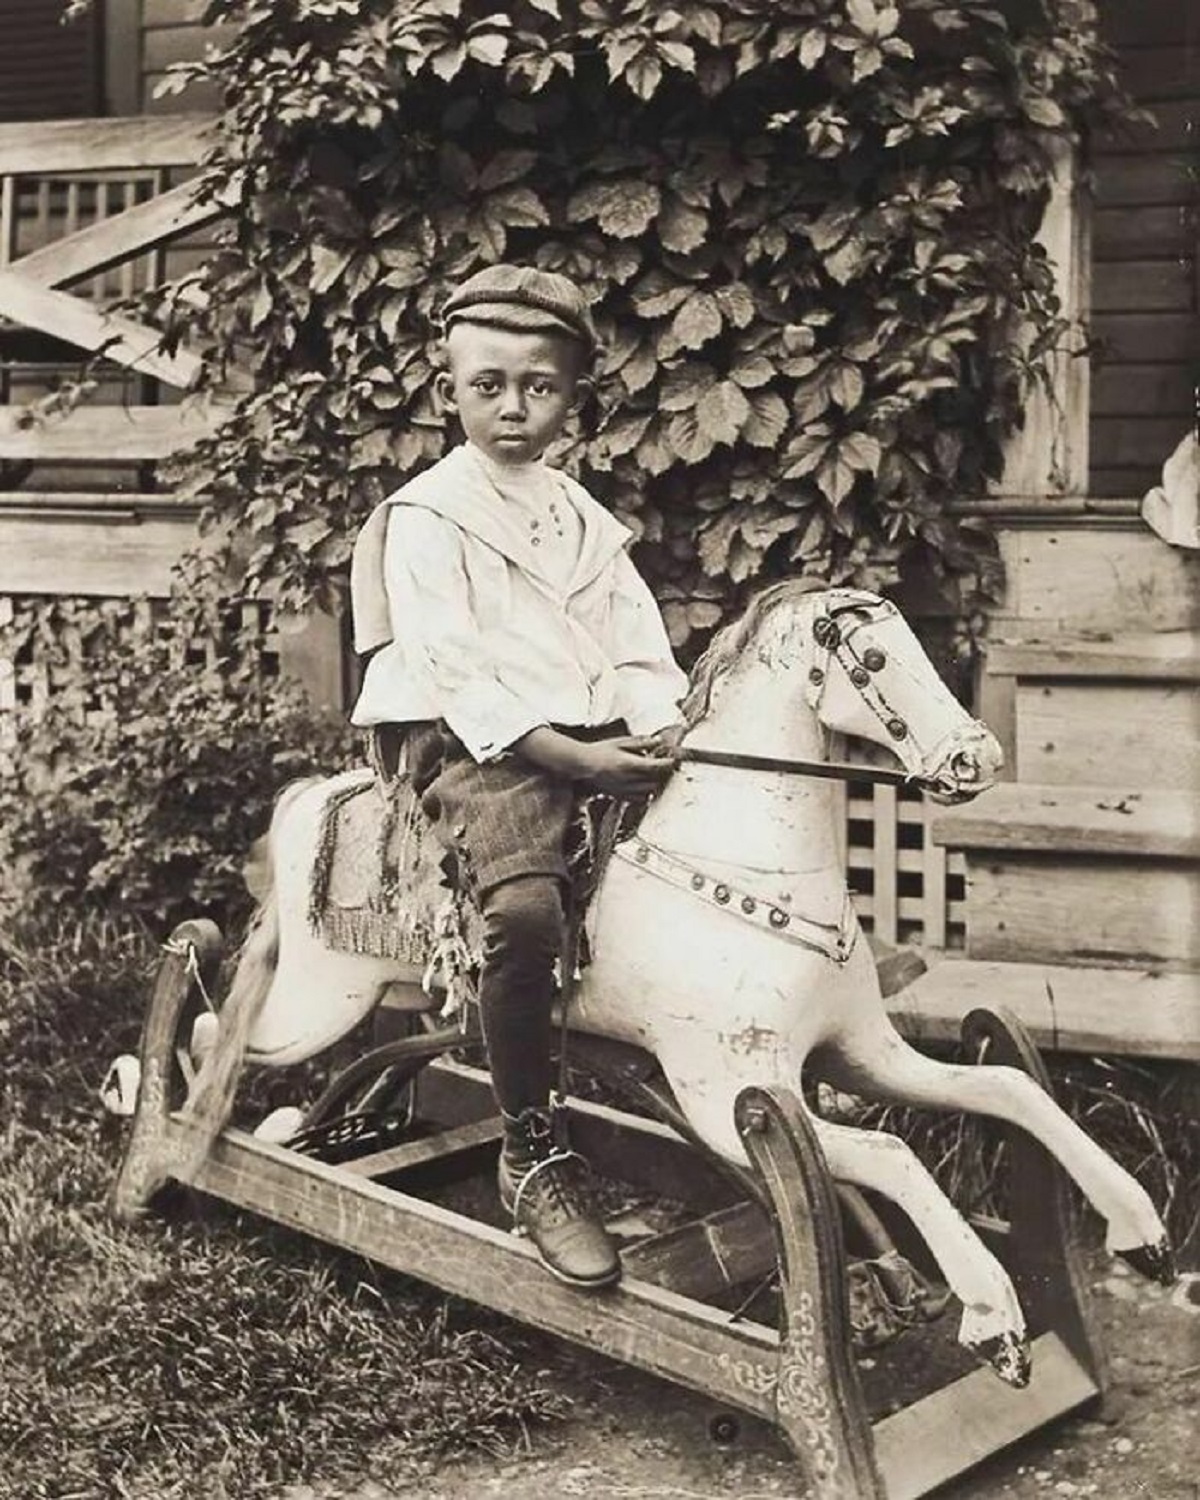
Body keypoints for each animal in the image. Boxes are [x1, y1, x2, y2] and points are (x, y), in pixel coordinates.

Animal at [201, 582, 1170, 1380]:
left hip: (389, 1001)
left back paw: (328, 1126)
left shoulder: (860, 1054)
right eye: (877, 659)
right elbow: (893, 1153)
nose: (977, 760)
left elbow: (1007, 1086)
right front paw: (991, 1318)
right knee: (218, 1028)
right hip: (321, 1000)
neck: (742, 872)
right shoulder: (727, 1093)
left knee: (375, 1055)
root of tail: (309, 798)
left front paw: (1141, 1232)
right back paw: (206, 1116)